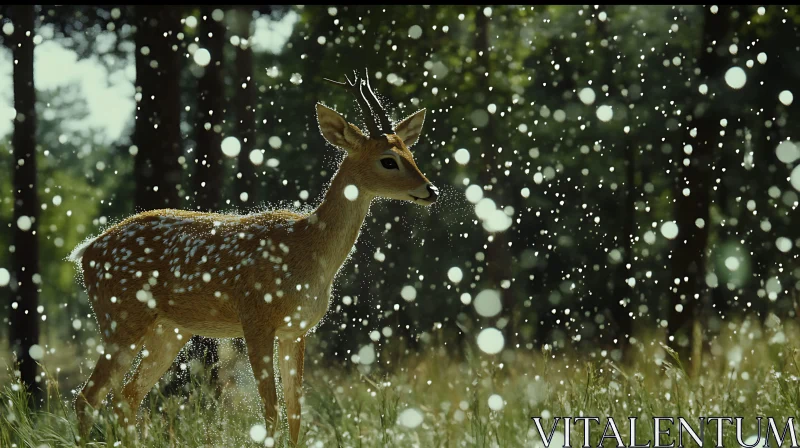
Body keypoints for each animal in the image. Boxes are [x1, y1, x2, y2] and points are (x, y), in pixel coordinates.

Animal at [69, 68, 440, 442]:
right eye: (388, 160)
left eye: (411, 152)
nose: (432, 190)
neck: (308, 250)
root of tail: (87, 250)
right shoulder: (256, 317)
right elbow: (271, 409)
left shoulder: (297, 329)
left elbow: (295, 410)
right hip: (121, 317)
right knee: (88, 397)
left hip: (169, 330)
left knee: (126, 397)